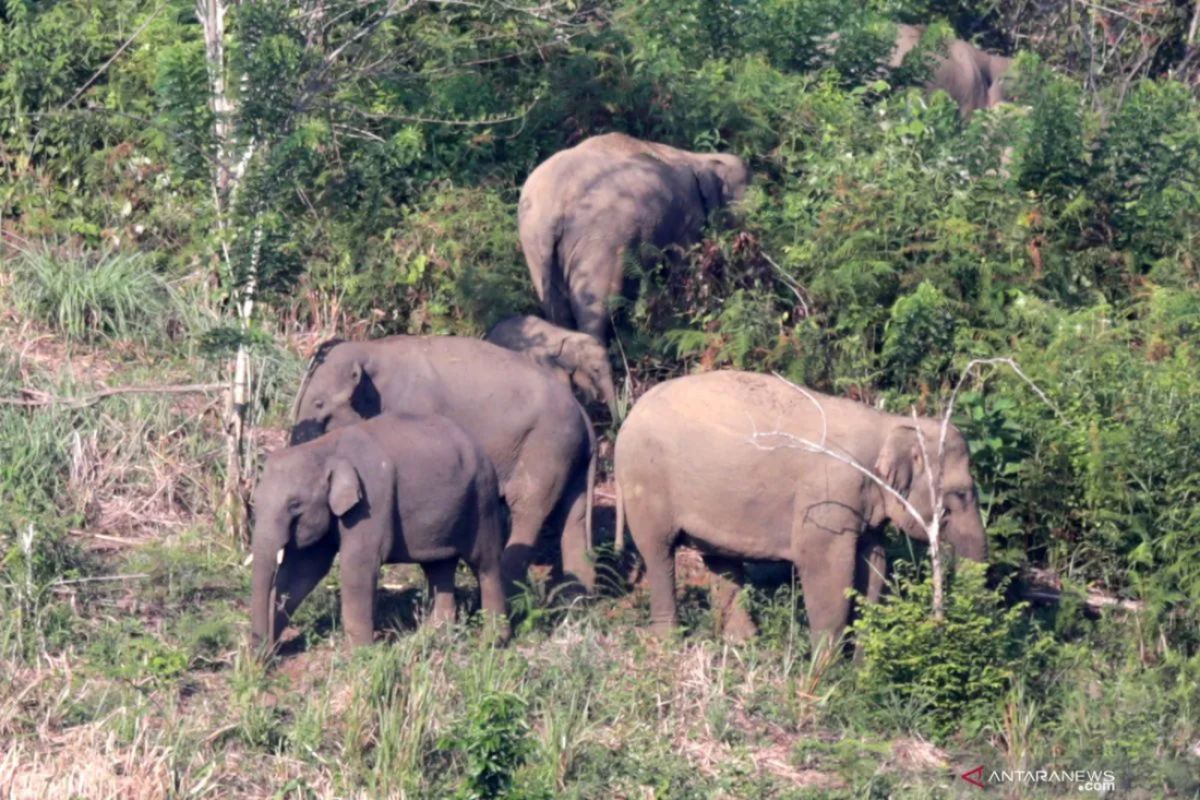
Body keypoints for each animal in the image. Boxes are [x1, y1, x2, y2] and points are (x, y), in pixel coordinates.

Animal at [250, 413, 507, 651]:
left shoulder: (371, 501)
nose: (261, 656)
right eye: (255, 501)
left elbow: (358, 566)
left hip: (482, 500)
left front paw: (361, 654)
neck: (325, 448)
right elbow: (303, 570)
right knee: (438, 567)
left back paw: (493, 641)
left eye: (294, 505)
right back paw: (433, 636)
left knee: (485, 564)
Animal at [291, 335, 598, 592]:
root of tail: (585, 415)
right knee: (573, 517)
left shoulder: (414, 407)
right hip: (569, 455)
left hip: (546, 446)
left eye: (319, 404)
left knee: (527, 508)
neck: (372, 349)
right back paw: (577, 597)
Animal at [518, 132, 751, 342]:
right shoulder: (687, 219)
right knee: (596, 309)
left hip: (534, 244)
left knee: (557, 311)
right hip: (599, 242)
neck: (699, 157)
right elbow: (685, 265)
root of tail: (555, 206)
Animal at [613, 371, 987, 646]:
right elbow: (826, 567)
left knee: (721, 560)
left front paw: (859, 665)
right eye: (960, 495)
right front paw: (824, 675)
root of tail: (628, 417)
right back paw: (668, 642)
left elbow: (873, 565)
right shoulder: (827, 497)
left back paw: (743, 642)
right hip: (645, 482)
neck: (887, 425)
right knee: (658, 553)